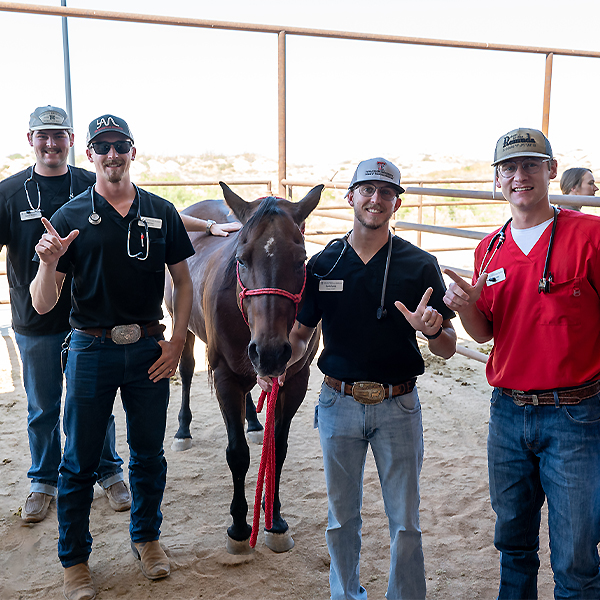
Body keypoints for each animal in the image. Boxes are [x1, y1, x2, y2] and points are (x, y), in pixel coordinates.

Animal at [164, 182, 324, 552]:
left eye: (301, 259)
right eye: (241, 259)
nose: (271, 352)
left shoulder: (296, 380)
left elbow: (277, 449)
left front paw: (275, 521)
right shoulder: (224, 376)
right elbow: (237, 453)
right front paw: (238, 526)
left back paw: (252, 420)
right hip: (186, 330)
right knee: (187, 371)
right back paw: (183, 430)